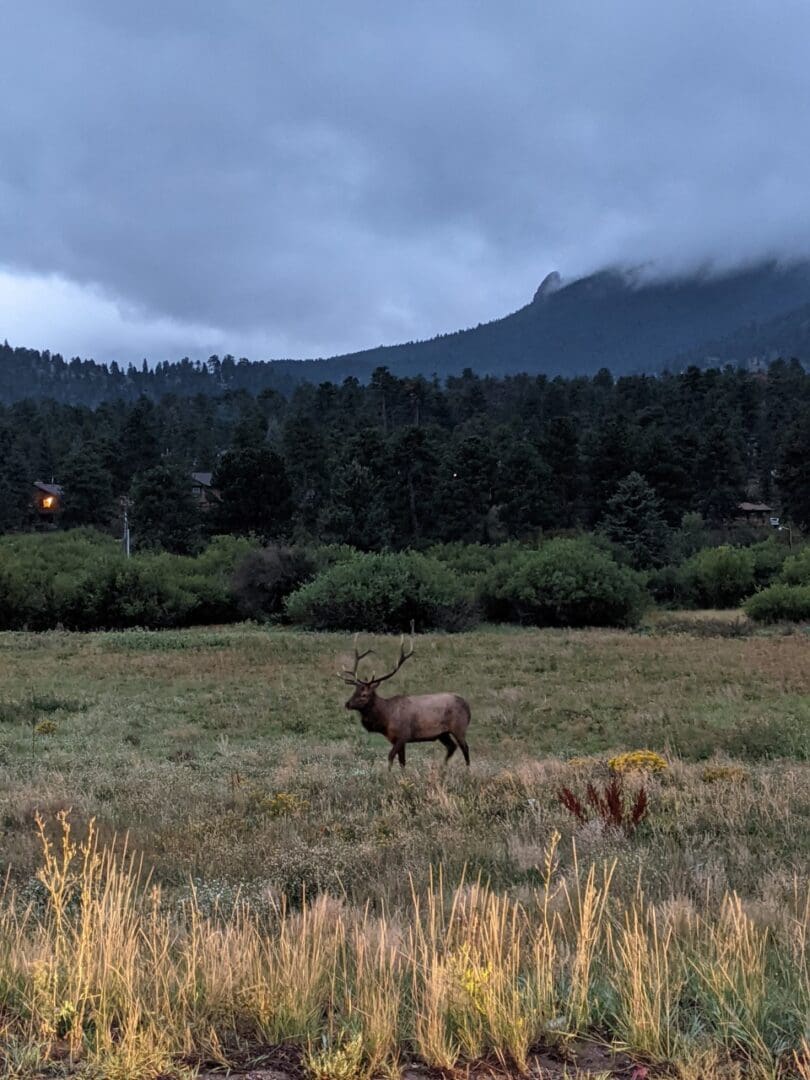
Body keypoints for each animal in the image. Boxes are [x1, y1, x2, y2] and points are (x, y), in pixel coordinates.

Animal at [339, 630, 473, 773]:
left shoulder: (403, 735)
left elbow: (391, 756)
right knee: (452, 747)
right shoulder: (395, 739)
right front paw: (402, 775)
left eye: (364, 695)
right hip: (443, 733)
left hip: (459, 727)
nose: (347, 704)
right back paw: (442, 768)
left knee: (465, 747)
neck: (386, 718)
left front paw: (387, 774)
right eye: (354, 691)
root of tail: (468, 706)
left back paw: (467, 771)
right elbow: (402, 761)